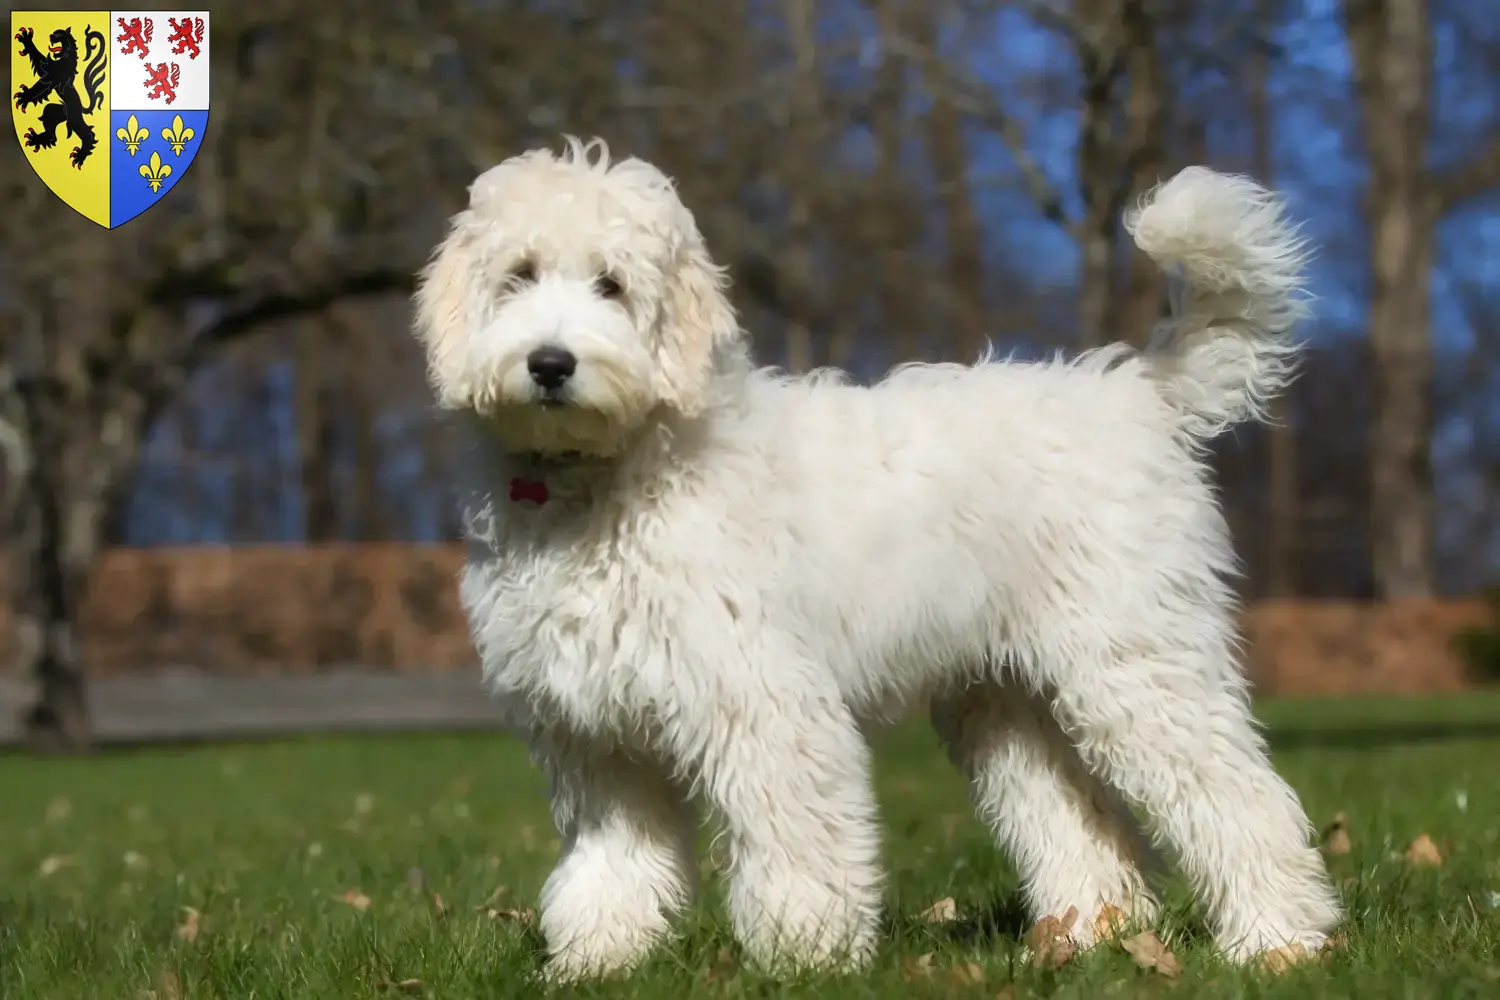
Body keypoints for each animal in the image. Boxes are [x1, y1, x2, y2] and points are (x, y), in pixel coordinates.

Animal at [417, 137, 1344, 983]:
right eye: (519, 275)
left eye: (610, 284)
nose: (550, 363)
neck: (604, 475)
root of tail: (1137, 391)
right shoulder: (597, 738)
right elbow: (611, 861)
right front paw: (597, 961)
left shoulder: (765, 701)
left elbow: (797, 838)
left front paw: (806, 955)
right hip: (1009, 700)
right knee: (1080, 825)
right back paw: (1083, 939)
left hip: (1137, 664)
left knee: (1239, 796)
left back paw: (1275, 942)